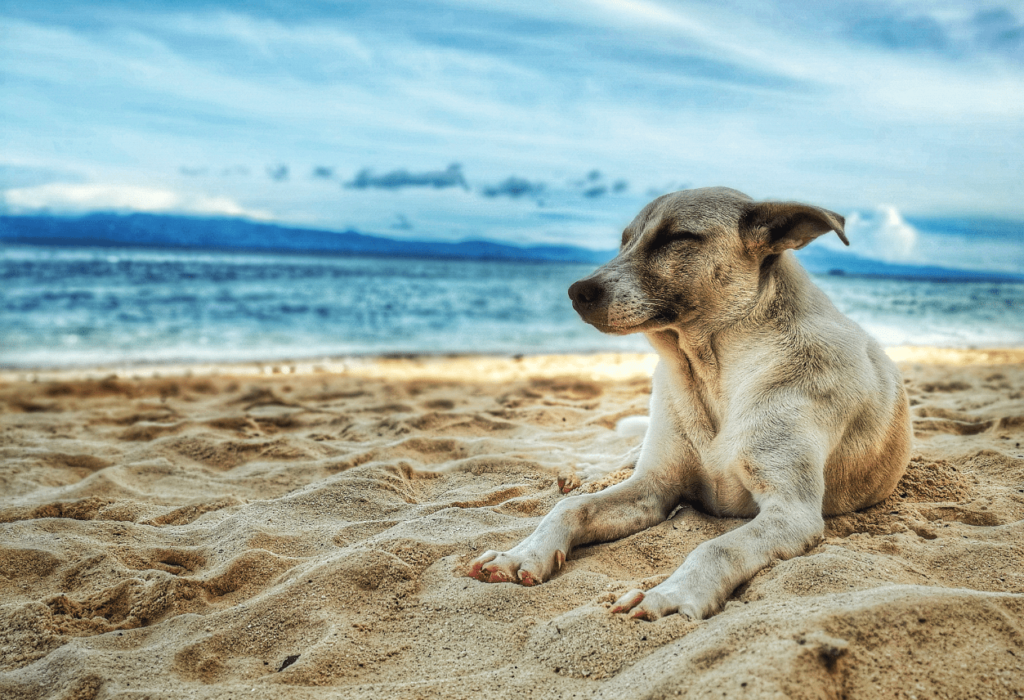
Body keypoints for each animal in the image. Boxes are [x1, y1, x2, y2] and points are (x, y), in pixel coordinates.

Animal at [468, 186, 909, 618]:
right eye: (624, 241)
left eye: (676, 238)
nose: (578, 292)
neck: (710, 375)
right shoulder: (654, 485)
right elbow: (572, 509)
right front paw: (522, 554)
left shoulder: (791, 512)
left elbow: (716, 547)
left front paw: (669, 595)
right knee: (619, 461)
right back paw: (586, 472)